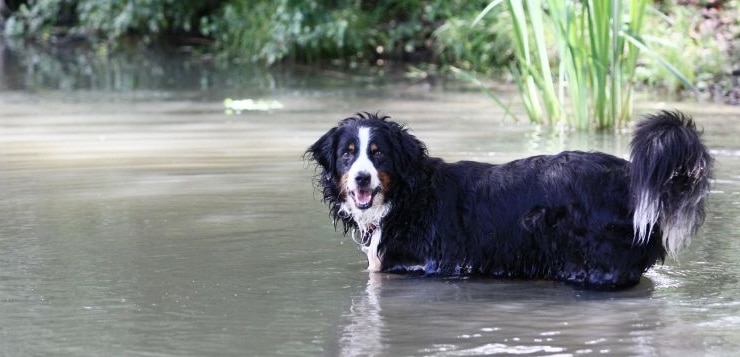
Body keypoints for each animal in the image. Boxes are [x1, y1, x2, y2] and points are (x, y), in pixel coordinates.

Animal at [304, 111, 712, 290]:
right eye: (348, 154)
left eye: (379, 155)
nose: (362, 177)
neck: (407, 196)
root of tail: (628, 173)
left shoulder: (431, 264)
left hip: (596, 263)